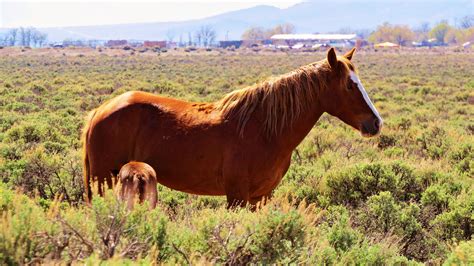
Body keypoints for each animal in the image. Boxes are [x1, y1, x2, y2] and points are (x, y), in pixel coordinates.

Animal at [82, 47, 382, 206]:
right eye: (349, 85)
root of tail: (99, 111)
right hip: (104, 180)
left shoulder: (261, 197)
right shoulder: (237, 196)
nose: (376, 123)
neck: (264, 130)